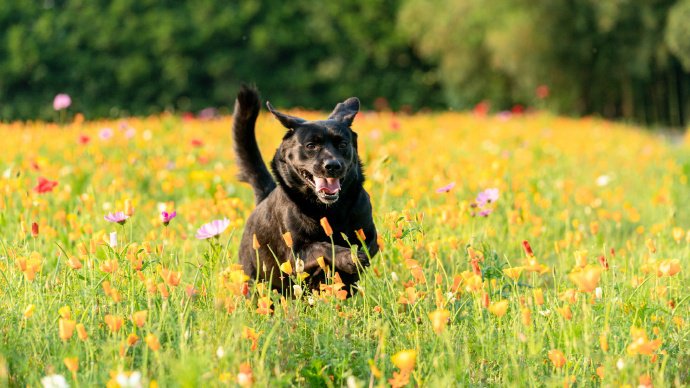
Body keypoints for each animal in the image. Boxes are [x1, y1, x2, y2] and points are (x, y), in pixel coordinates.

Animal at [234, 85, 378, 294]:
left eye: (343, 144)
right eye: (311, 145)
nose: (332, 166)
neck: (330, 210)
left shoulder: (369, 234)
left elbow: (363, 248)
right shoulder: (295, 255)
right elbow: (323, 247)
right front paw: (347, 258)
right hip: (254, 277)